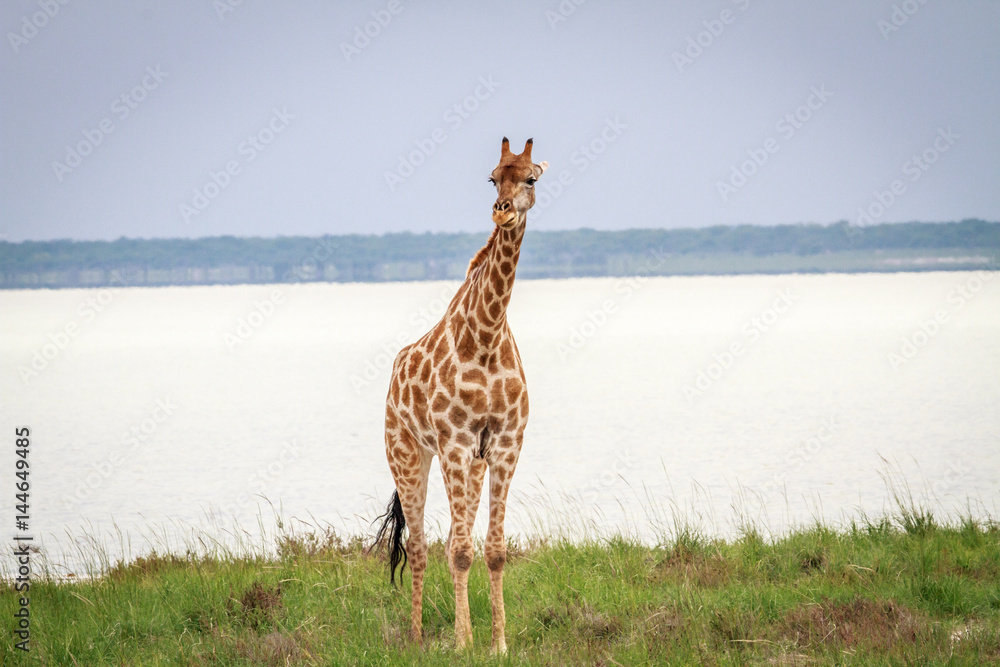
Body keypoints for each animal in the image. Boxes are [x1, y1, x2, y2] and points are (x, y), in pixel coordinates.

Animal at [374, 137, 547, 652]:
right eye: (491, 177)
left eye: (531, 177)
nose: (502, 212)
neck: (486, 337)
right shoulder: (453, 443)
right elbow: (458, 551)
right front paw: (462, 643)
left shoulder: (505, 444)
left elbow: (492, 550)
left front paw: (498, 644)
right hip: (407, 454)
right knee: (419, 545)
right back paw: (415, 635)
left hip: (471, 464)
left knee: (456, 536)